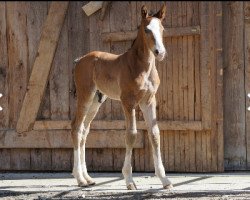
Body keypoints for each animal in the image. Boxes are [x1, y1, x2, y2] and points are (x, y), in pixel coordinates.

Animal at [70, 3, 172, 190]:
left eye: (162, 29)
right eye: (146, 29)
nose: (159, 52)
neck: (141, 66)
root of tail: (80, 59)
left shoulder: (148, 101)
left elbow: (155, 134)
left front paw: (165, 180)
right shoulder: (128, 102)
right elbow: (131, 134)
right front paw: (129, 180)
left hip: (96, 101)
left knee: (84, 131)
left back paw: (88, 178)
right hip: (85, 97)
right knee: (76, 127)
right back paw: (79, 178)